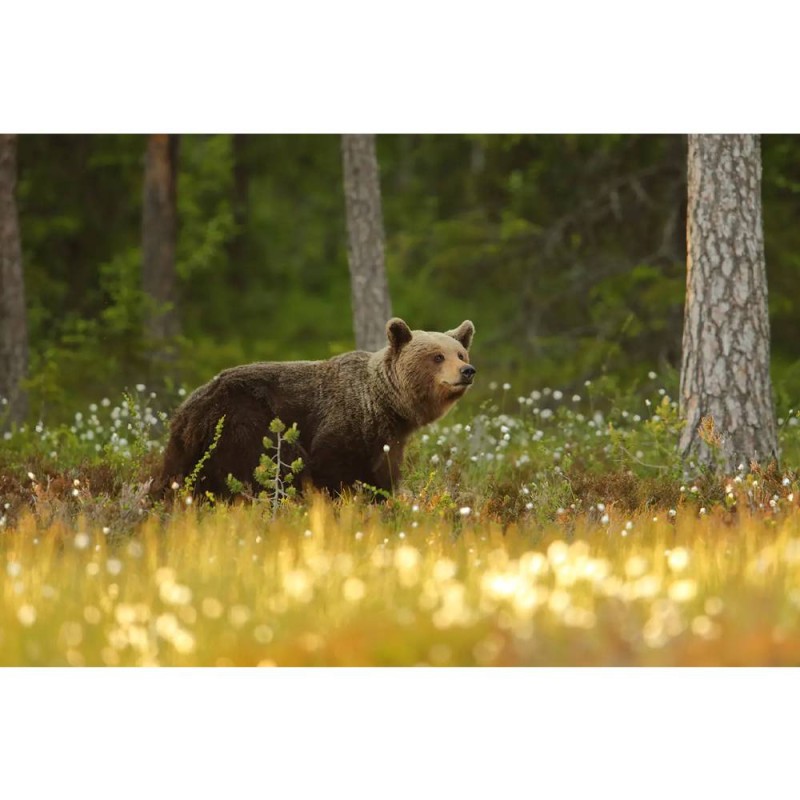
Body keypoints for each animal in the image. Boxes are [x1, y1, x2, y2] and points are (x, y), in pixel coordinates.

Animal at [152, 318, 476, 500]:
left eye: (460, 353)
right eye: (437, 356)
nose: (467, 370)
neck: (384, 405)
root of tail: (188, 408)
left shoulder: (386, 439)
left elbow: (383, 474)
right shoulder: (343, 423)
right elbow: (331, 468)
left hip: (189, 446)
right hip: (244, 420)